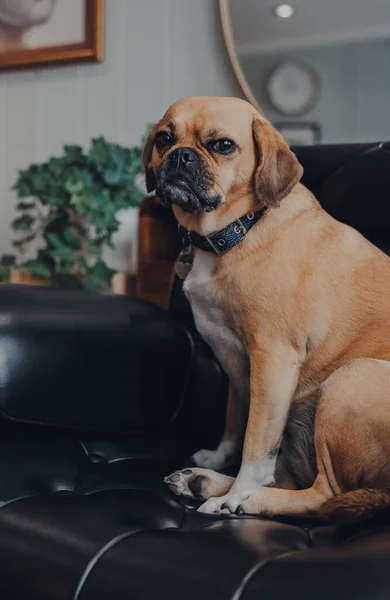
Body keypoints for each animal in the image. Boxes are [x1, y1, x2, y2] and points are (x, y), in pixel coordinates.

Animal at [142, 97, 390, 520]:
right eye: (164, 138)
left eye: (224, 145)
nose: (181, 156)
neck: (238, 230)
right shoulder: (235, 360)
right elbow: (234, 423)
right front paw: (217, 460)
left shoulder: (272, 359)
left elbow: (256, 445)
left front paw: (238, 491)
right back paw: (202, 481)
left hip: (350, 380)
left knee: (322, 493)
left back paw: (241, 499)